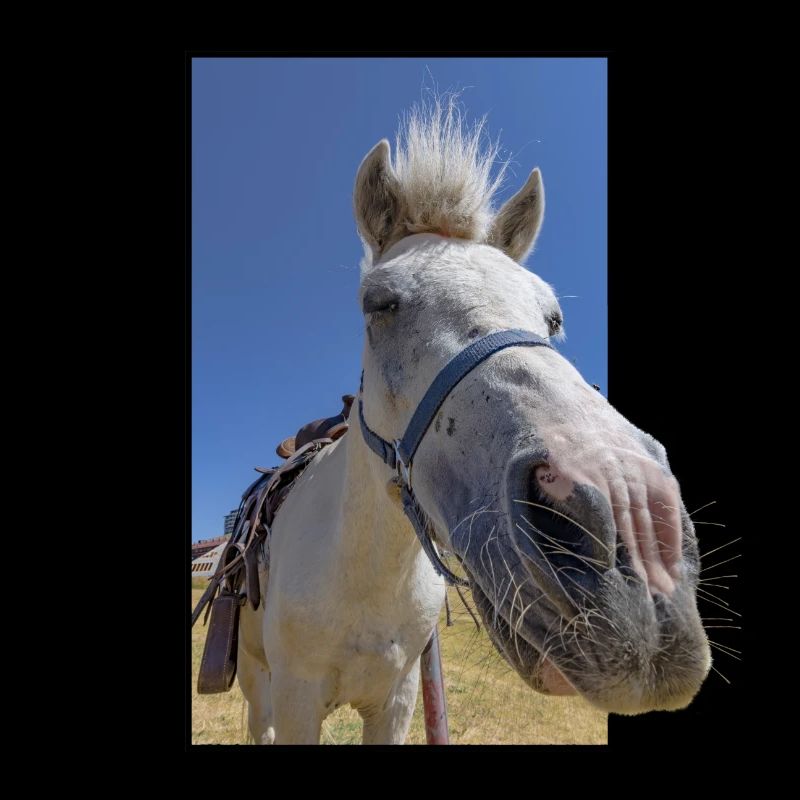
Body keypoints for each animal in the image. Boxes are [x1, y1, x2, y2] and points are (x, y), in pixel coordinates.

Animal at [235, 100, 711, 744]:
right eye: (379, 305)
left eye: (552, 317)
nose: (631, 524)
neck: (364, 575)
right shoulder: (295, 699)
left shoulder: (397, 700)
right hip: (257, 683)